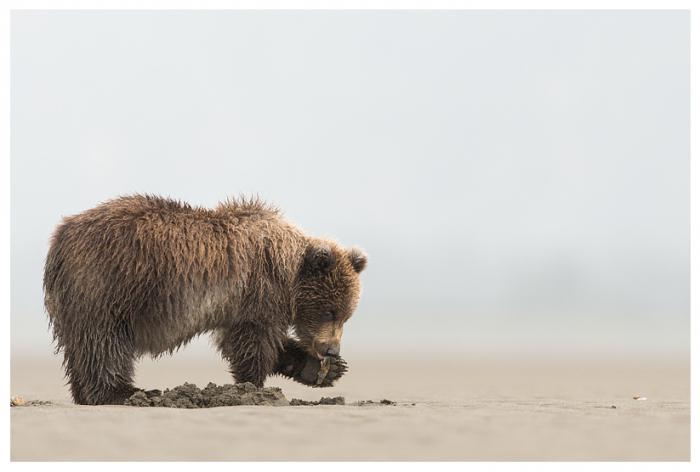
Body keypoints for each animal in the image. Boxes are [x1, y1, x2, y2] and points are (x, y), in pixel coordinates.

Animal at [43, 194, 366, 404]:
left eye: (346, 314)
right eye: (329, 311)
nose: (332, 349)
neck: (287, 273)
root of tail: (60, 238)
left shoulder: (238, 304)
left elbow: (249, 341)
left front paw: (324, 370)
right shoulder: (256, 292)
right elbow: (254, 342)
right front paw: (253, 388)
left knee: (80, 346)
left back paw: (85, 394)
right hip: (109, 283)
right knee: (104, 342)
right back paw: (124, 393)